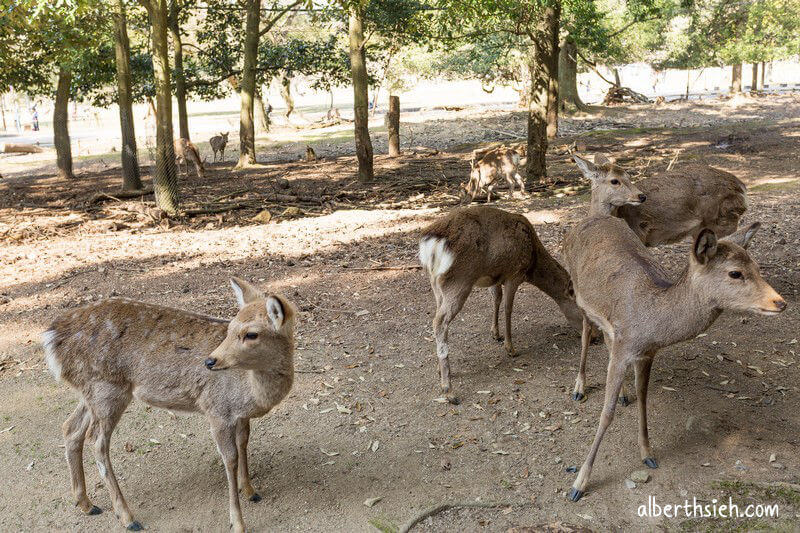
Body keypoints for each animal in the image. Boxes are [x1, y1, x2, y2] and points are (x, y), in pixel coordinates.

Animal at [43, 278, 294, 532]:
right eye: (230, 328)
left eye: (251, 334)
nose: (210, 361)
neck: (251, 393)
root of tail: (52, 338)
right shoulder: (216, 408)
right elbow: (230, 458)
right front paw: (238, 523)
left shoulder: (240, 415)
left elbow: (244, 443)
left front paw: (251, 490)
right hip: (108, 389)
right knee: (96, 441)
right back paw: (127, 517)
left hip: (91, 391)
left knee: (70, 428)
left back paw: (86, 504)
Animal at [422, 206, 584, 402]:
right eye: (583, 312)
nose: (596, 337)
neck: (533, 263)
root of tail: (431, 243)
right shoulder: (515, 273)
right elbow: (508, 308)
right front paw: (511, 348)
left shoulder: (496, 277)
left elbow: (496, 298)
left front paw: (496, 334)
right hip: (459, 280)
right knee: (440, 321)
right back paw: (449, 390)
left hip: (436, 284)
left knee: (437, 315)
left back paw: (439, 370)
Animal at [564, 213, 788, 502]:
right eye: (735, 273)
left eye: (758, 267)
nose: (780, 302)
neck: (650, 325)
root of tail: (583, 221)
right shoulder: (626, 347)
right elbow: (606, 413)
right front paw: (579, 483)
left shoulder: (645, 353)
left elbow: (643, 399)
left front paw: (648, 454)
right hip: (578, 293)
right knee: (585, 333)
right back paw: (579, 387)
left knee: (604, 339)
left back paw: (623, 393)